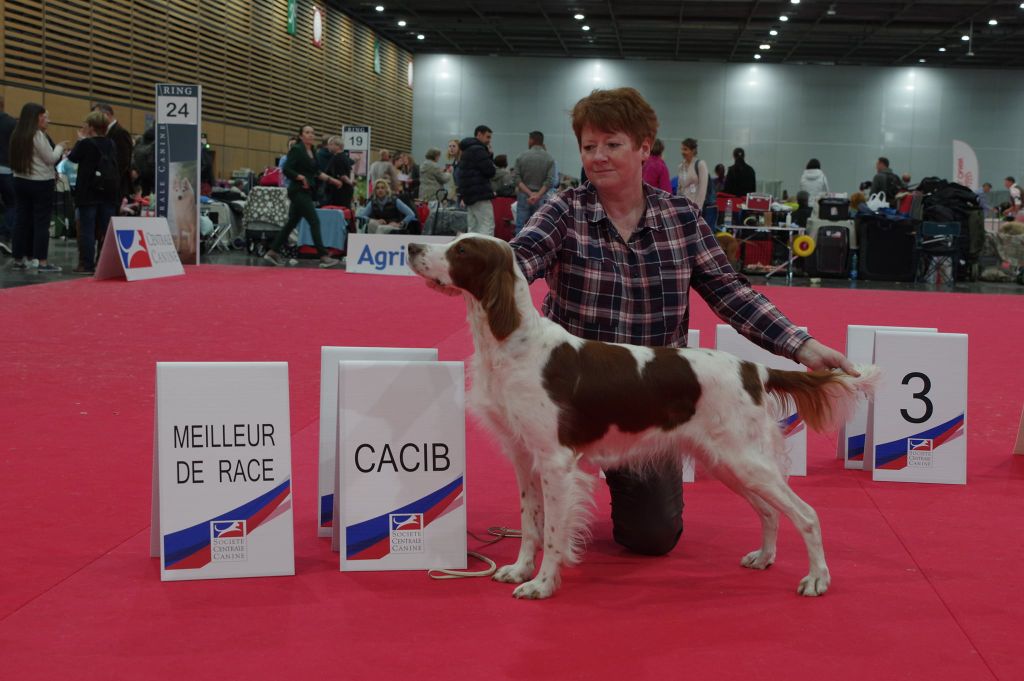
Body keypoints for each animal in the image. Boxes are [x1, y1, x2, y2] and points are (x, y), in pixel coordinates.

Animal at [407, 235, 880, 602]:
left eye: (462, 249)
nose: (411, 246)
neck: (512, 343)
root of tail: (754, 368)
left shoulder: (557, 463)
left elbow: (555, 532)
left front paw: (541, 584)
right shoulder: (525, 457)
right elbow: (530, 523)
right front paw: (520, 570)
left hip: (746, 460)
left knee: (806, 514)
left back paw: (817, 579)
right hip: (726, 461)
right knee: (769, 511)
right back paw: (764, 557)